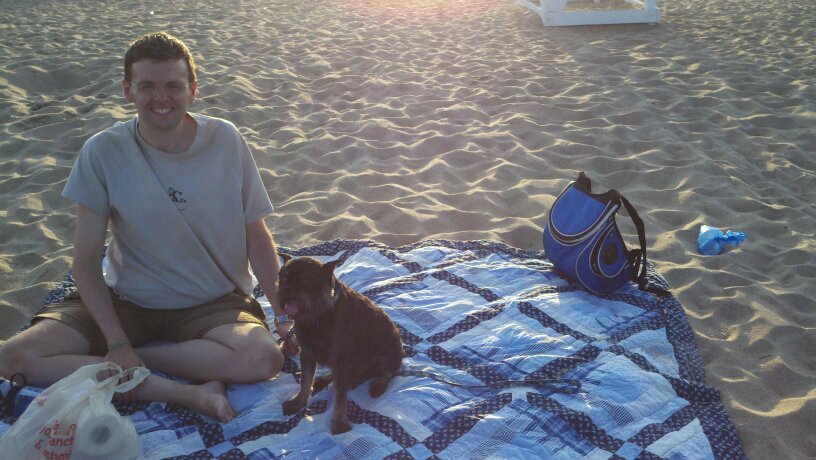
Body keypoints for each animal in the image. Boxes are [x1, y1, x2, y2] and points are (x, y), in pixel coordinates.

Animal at [277, 254, 404, 434]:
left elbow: (339, 396)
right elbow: (305, 381)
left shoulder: (341, 360)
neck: (319, 315)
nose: (287, 290)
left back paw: (378, 384)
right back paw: (324, 379)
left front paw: (339, 423)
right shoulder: (307, 353)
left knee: (388, 371)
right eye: (283, 279)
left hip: (388, 347)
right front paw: (298, 402)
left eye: (305, 282)